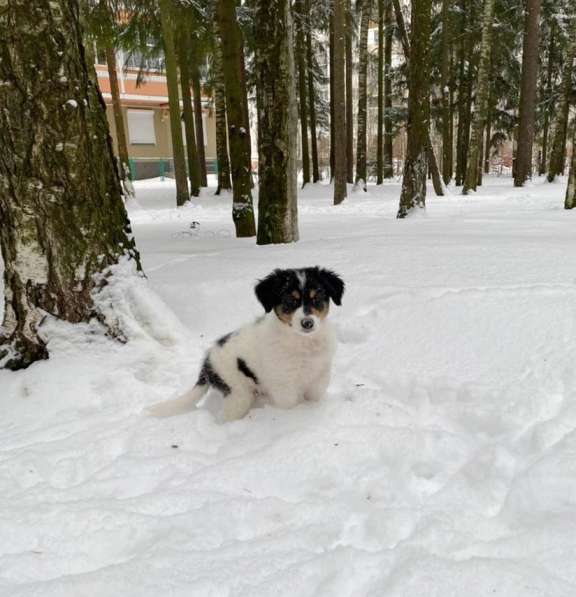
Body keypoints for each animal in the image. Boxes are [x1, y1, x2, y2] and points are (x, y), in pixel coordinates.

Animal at [148, 268, 344, 422]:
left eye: (317, 298)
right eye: (289, 301)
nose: (307, 323)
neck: (302, 343)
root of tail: (207, 364)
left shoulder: (319, 378)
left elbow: (315, 396)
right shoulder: (283, 386)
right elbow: (289, 405)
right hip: (238, 394)